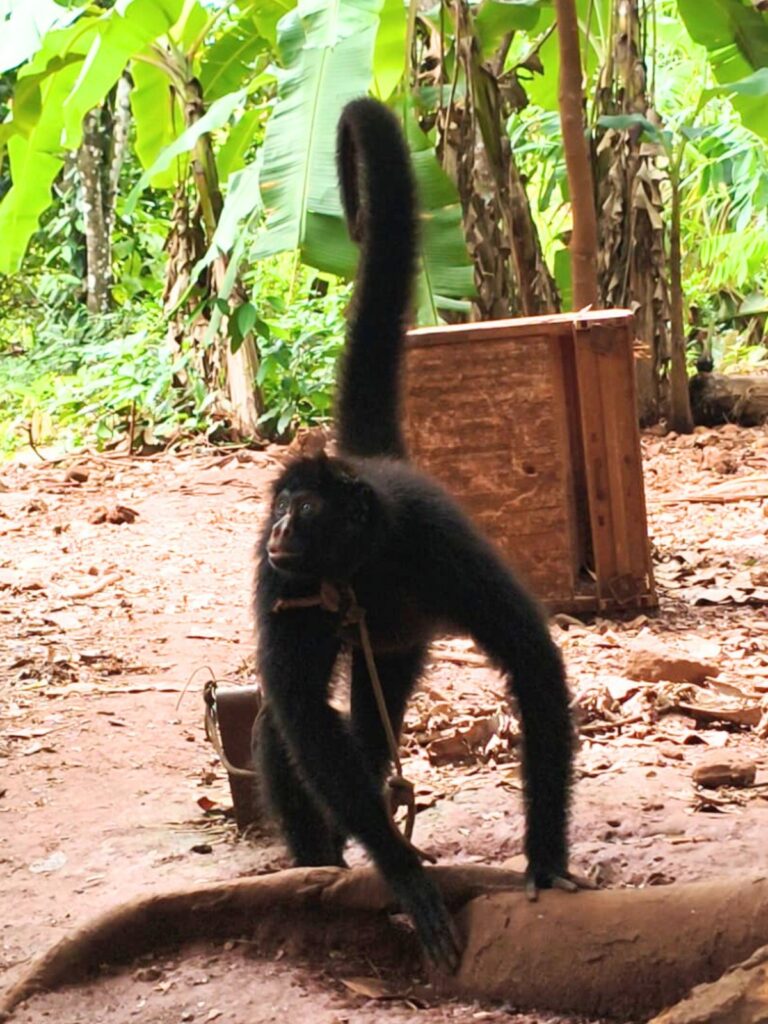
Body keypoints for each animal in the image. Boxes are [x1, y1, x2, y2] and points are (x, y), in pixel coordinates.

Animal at [253, 97, 576, 972]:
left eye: (307, 509)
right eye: (282, 504)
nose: (282, 526)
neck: (365, 562)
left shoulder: (438, 544)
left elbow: (532, 660)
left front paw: (545, 860)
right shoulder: (279, 574)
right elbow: (299, 711)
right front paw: (400, 872)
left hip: (399, 639)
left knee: (371, 713)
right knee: (298, 724)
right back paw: (320, 862)